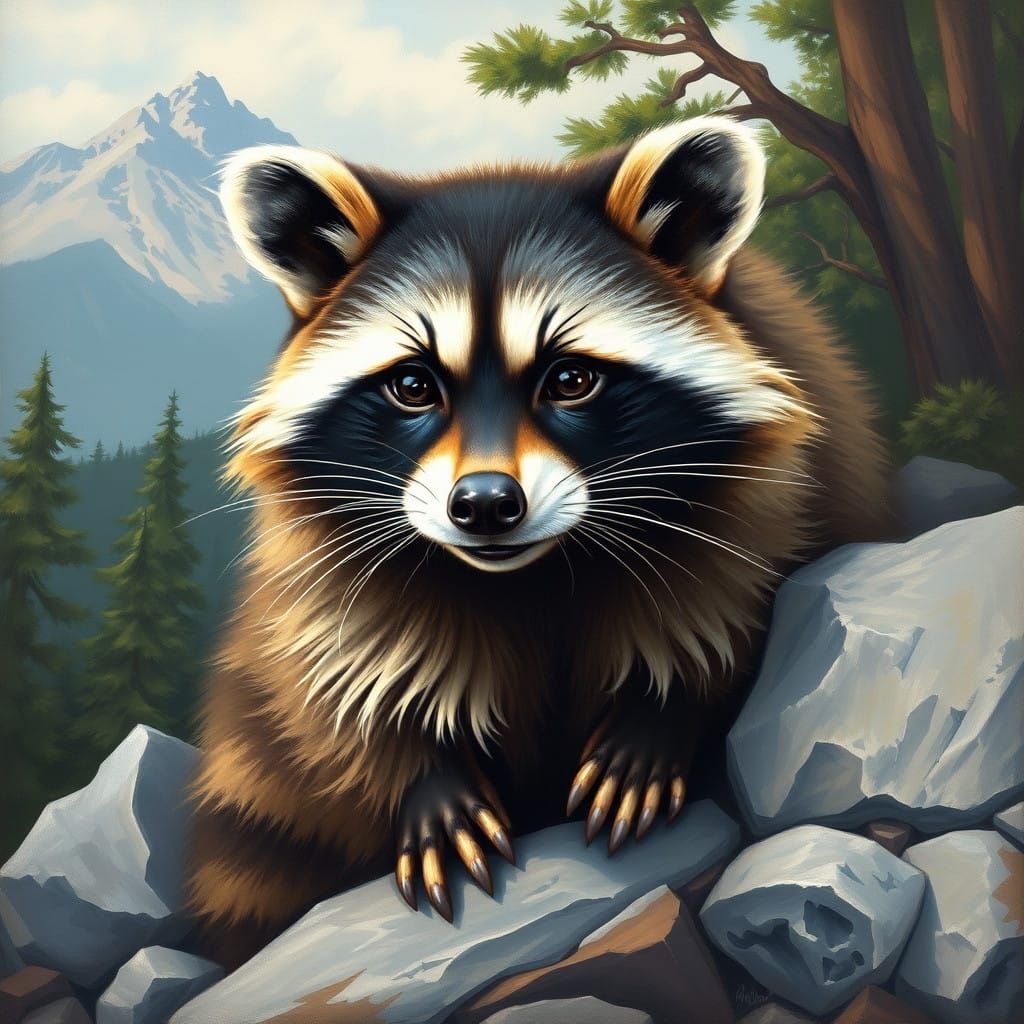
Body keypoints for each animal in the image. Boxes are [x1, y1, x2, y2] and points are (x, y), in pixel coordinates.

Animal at [187, 117, 889, 965]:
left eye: (570, 380)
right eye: (414, 385)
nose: (486, 506)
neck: (537, 571)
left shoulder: (764, 489)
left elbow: (732, 602)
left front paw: (660, 709)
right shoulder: (333, 553)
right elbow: (346, 668)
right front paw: (428, 776)